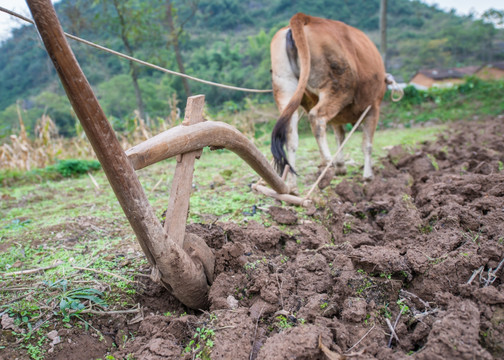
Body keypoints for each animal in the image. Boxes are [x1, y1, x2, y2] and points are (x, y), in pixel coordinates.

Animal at [272, 12, 386, 190]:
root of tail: (305, 17)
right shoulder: (373, 107)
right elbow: (367, 144)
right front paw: (368, 177)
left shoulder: (338, 118)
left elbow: (340, 137)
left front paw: (341, 166)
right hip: (337, 88)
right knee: (316, 117)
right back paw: (327, 168)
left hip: (284, 89)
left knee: (291, 135)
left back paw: (292, 185)